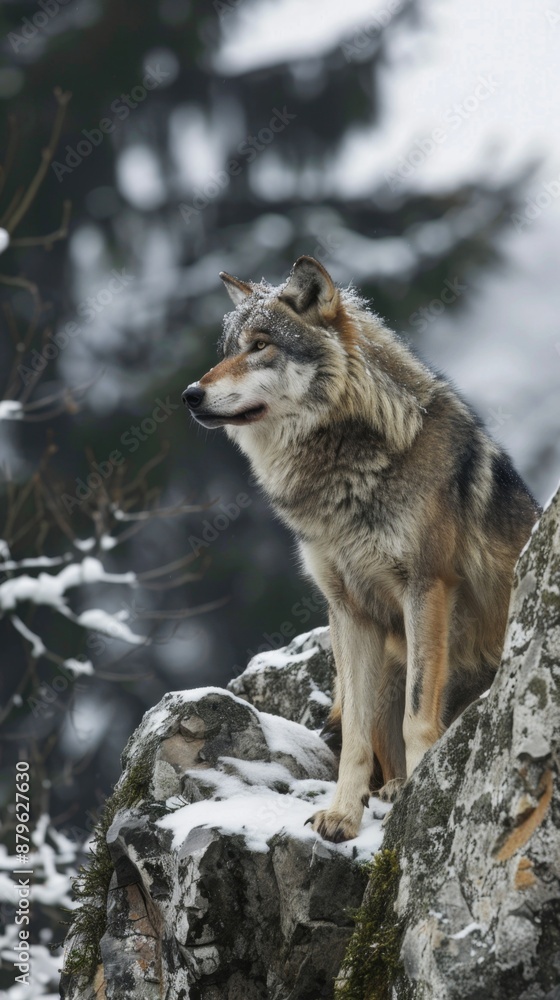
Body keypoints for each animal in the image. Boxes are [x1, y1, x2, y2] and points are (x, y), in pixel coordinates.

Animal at [182, 256, 540, 843]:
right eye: (229, 349)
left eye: (260, 346)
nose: (190, 393)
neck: (343, 473)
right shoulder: (348, 609)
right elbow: (354, 734)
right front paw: (343, 816)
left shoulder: (425, 588)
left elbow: (418, 717)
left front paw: (416, 801)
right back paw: (389, 789)